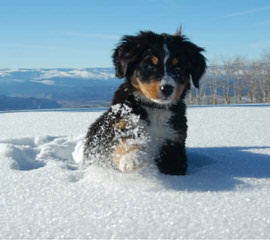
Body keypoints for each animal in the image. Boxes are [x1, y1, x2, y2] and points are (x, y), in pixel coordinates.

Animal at [83, 30, 206, 176]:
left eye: (178, 68)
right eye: (149, 66)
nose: (167, 88)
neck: (155, 108)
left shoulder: (174, 140)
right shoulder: (120, 124)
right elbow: (125, 140)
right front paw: (133, 158)